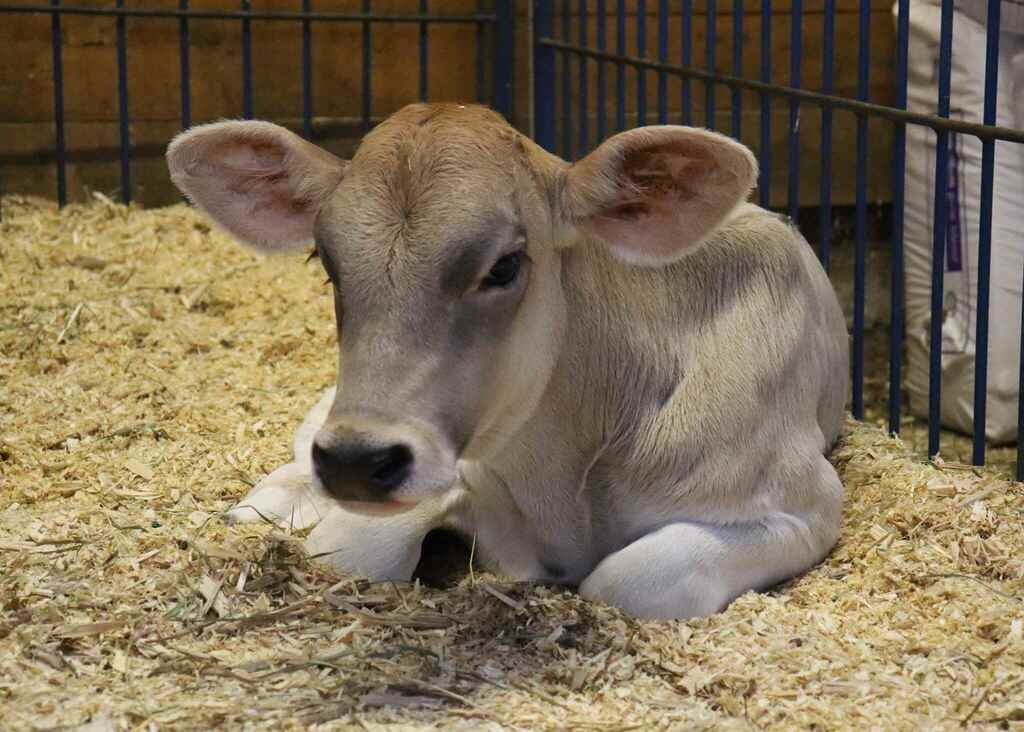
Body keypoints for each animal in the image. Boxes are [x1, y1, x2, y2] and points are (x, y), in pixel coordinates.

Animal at [166, 103, 848, 619]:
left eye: (504, 265)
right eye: (325, 262)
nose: (357, 462)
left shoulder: (803, 502)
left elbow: (627, 583)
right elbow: (346, 547)